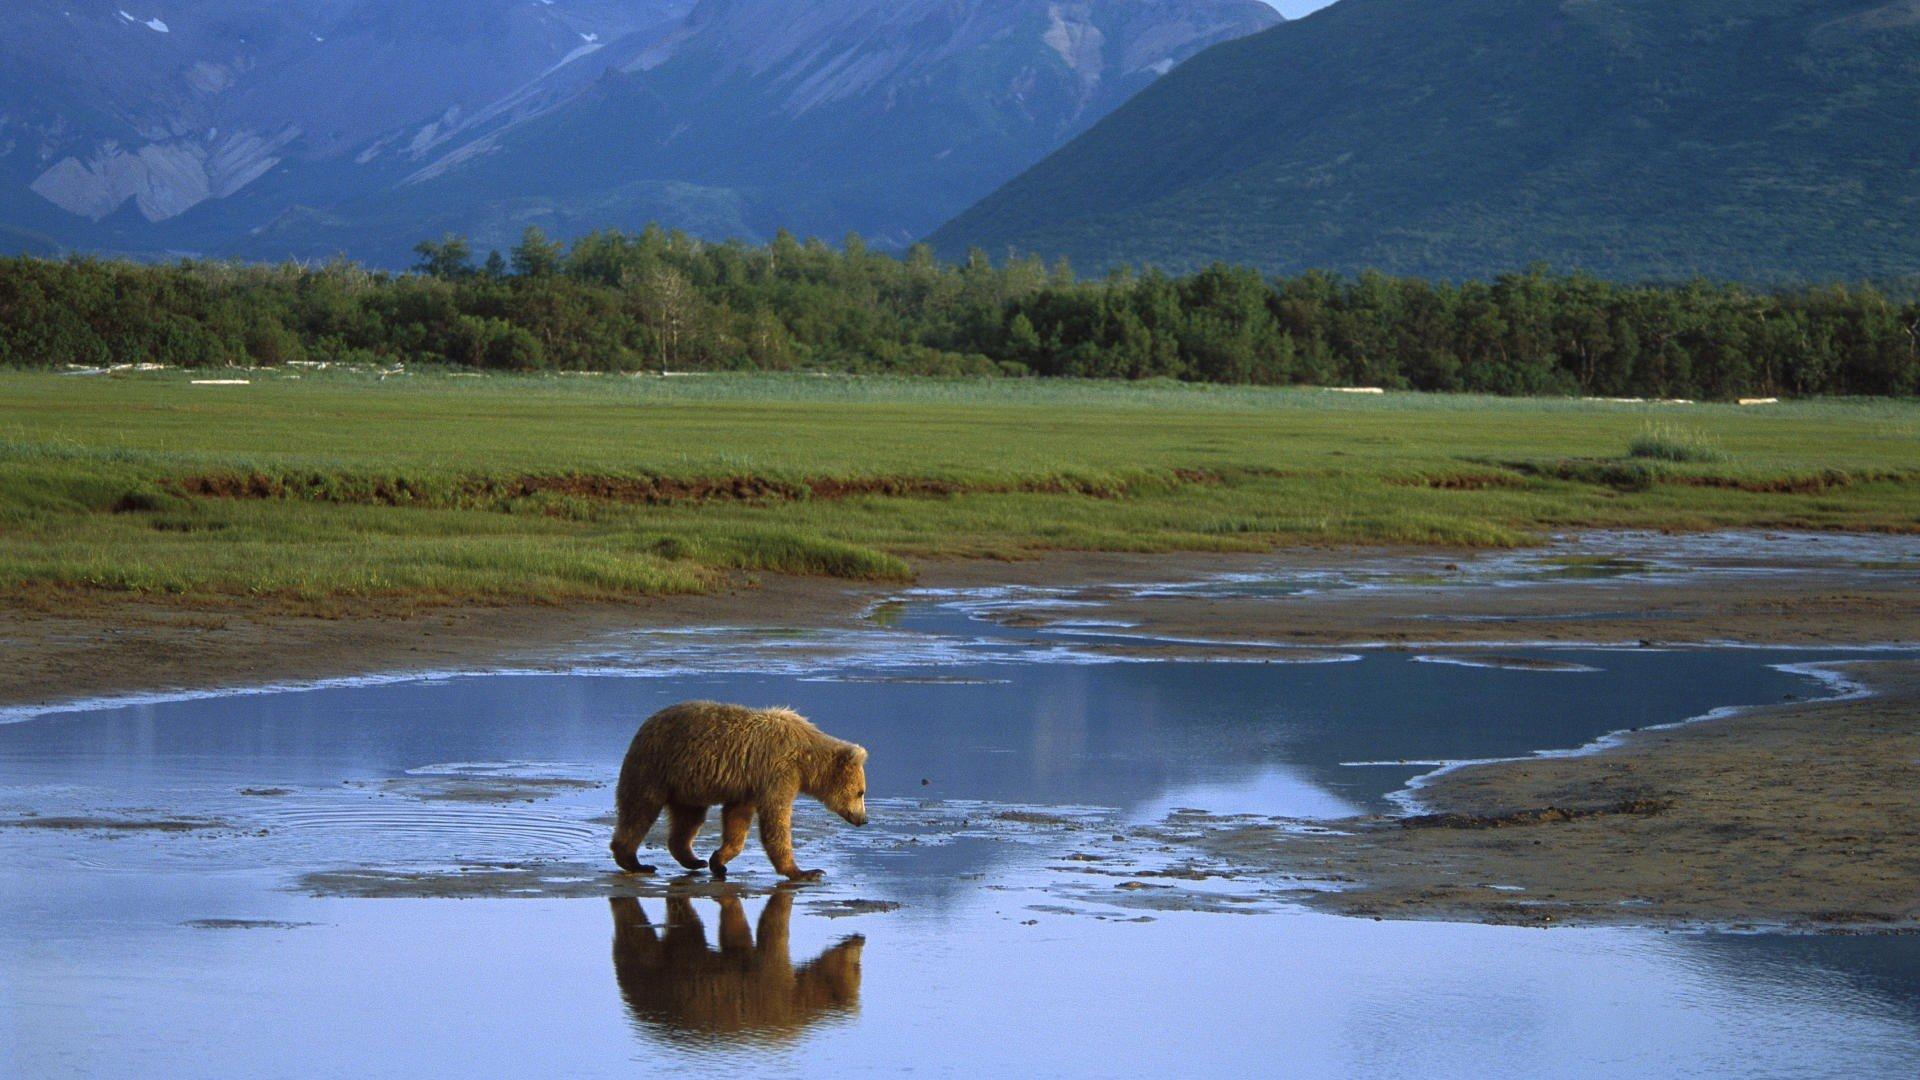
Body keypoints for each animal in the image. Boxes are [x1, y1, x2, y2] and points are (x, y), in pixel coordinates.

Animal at [609, 701, 868, 881]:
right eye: (861, 792)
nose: (864, 819)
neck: (806, 761)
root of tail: (645, 724)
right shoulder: (778, 773)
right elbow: (776, 821)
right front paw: (806, 871)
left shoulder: (749, 785)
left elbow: (737, 821)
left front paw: (718, 860)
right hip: (654, 767)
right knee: (640, 810)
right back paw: (635, 862)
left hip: (686, 785)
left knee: (688, 820)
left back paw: (694, 860)